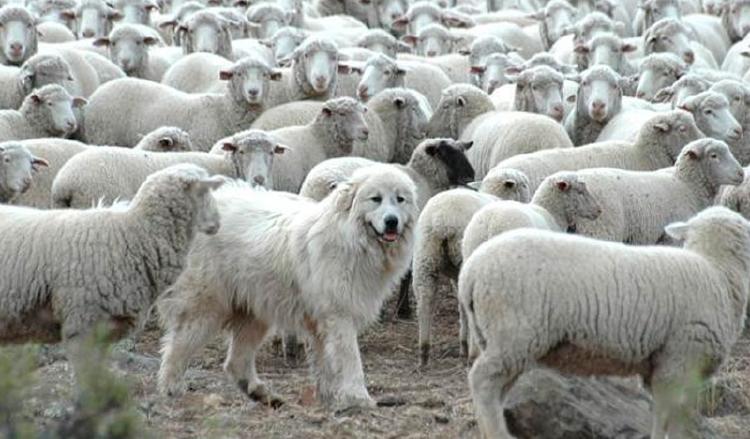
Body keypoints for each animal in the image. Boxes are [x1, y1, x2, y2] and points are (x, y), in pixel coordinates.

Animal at [81, 58, 280, 151]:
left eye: (265, 75)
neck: (224, 111)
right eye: (238, 74)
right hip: (102, 137)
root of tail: (98, 91)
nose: (253, 92)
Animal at [413, 168, 532, 365]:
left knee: (425, 299)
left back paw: (425, 351)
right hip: (464, 258)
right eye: (524, 185)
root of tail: (442, 220)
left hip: (425, 256)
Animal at [461, 205, 750, 439]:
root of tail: (470, 272)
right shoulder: (677, 359)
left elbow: (675, 417)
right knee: (481, 380)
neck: (717, 271)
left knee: (496, 389)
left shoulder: (671, 367)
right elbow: (667, 416)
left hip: (501, 340)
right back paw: (497, 433)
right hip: (513, 333)